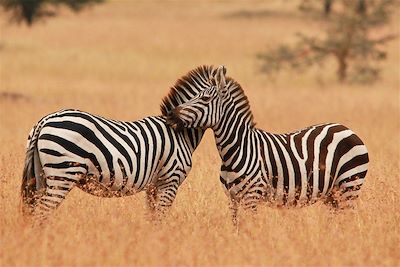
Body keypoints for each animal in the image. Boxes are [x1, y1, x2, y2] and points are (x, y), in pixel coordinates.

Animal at [21, 66, 217, 223]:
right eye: (205, 100)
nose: (173, 120)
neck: (180, 133)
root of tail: (44, 121)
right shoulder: (169, 180)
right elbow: (160, 218)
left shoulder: (154, 185)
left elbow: (152, 218)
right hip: (63, 172)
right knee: (42, 213)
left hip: (40, 175)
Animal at [166, 65, 368, 226]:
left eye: (205, 99)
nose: (171, 114)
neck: (237, 148)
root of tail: (346, 129)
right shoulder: (233, 199)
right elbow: (236, 228)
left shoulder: (252, 198)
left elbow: (252, 228)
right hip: (332, 194)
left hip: (349, 185)